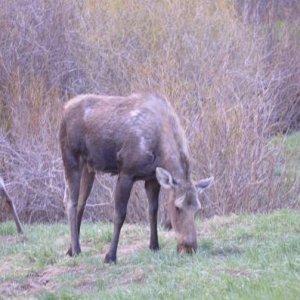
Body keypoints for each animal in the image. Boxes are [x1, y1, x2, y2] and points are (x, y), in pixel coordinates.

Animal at [59, 93, 213, 262]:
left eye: (197, 209)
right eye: (177, 207)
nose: (189, 248)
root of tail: (64, 108)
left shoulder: (152, 178)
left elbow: (153, 210)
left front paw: (154, 245)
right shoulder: (126, 173)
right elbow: (120, 214)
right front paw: (110, 256)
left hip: (89, 167)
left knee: (81, 202)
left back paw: (70, 249)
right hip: (70, 158)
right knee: (70, 201)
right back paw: (76, 250)